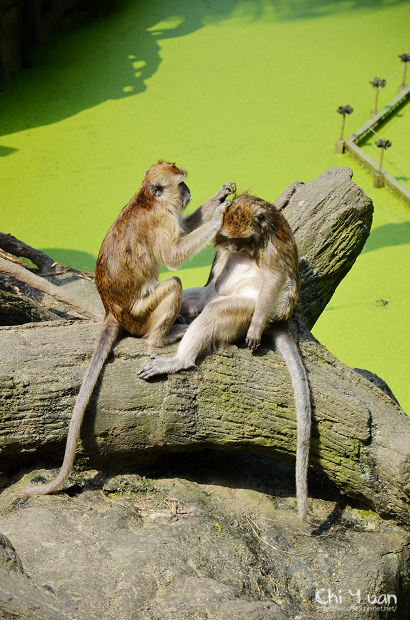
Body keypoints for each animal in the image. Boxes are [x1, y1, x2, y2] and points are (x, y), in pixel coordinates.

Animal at [22, 162, 235, 496]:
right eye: (181, 183)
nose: (188, 192)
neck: (146, 200)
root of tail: (112, 312)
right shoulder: (161, 220)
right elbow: (173, 257)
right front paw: (220, 216)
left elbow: (185, 226)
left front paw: (221, 195)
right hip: (141, 315)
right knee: (172, 286)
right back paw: (162, 337)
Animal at [139, 194, 312, 524]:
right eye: (231, 239)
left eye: (241, 240)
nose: (234, 248)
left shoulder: (270, 241)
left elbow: (274, 274)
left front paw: (254, 331)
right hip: (211, 294)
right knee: (196, 296)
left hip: (244, 309)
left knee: (217, 311)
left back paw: (180, 358)